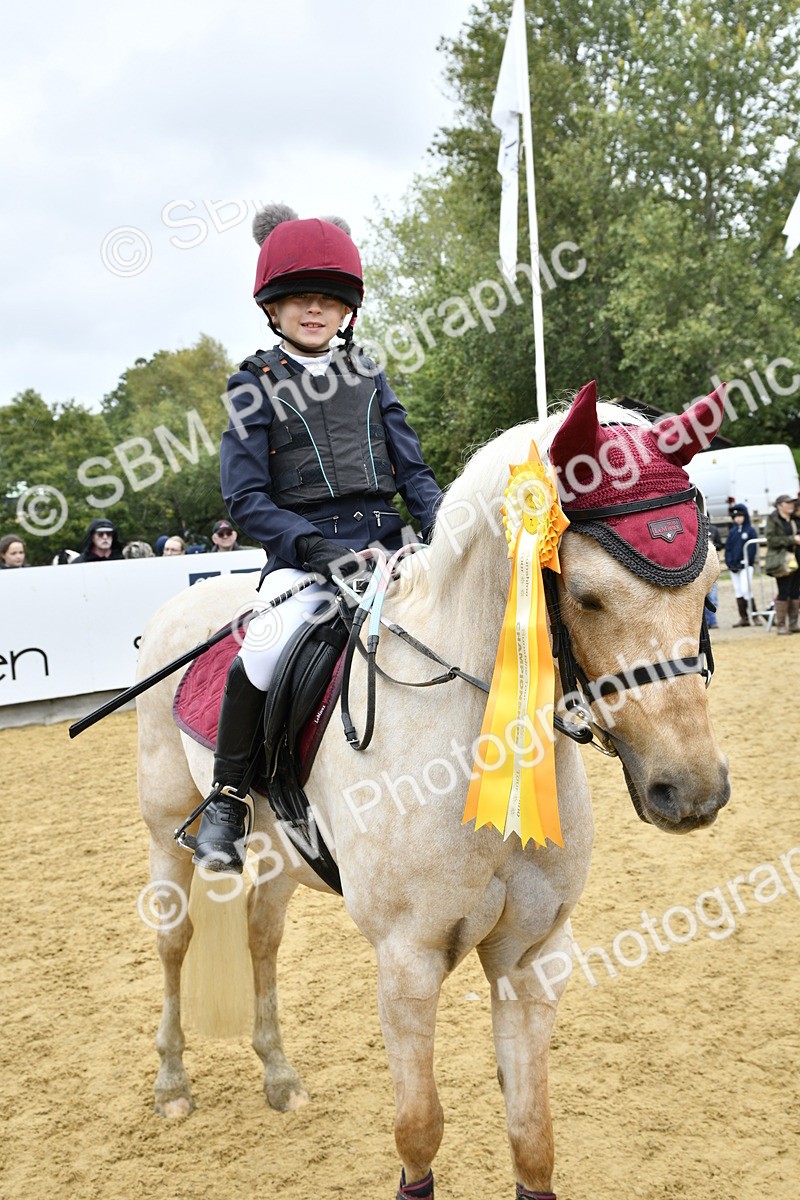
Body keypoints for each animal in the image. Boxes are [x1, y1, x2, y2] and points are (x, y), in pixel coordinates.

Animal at [136, 382, 730, 1198]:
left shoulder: (533, 955)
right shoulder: (407, 961)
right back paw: (171, 1085)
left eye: (708, 585)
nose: (692, 790)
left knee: (261, 936)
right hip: (169, 829)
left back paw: (280, 1076)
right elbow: (418, 1131)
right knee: (174, 940)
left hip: (281, 854)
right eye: (586, 595)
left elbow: (533, 1141)